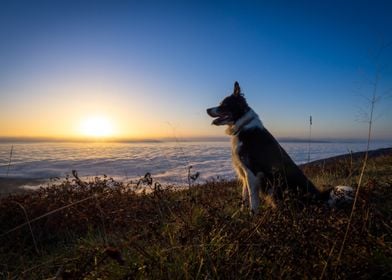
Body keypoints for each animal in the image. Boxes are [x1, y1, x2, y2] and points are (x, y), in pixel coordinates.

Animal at [207, 82, 354, 213]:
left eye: (224, 104)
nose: (207, 110)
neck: (243, 125)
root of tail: (319, 197)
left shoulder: (252, 173)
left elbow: (252, 201)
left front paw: (252, 217)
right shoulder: (244, 173)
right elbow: (244, 198)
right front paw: (240, 215)